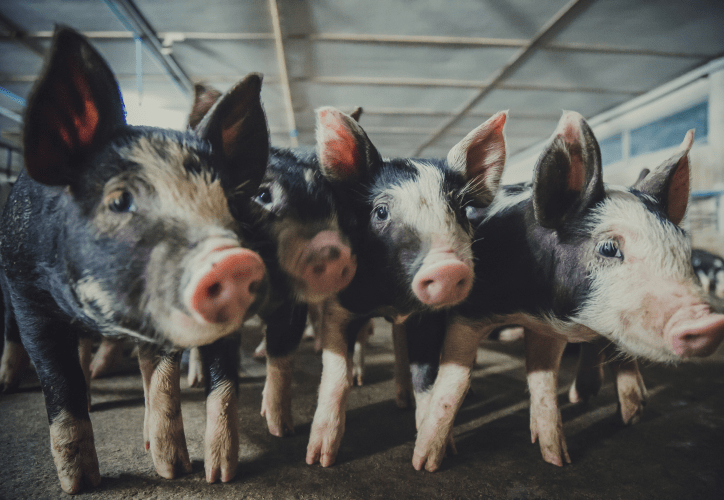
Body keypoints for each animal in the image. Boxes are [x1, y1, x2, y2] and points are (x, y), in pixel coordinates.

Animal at [0, 28, 270, 493]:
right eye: (119, 200)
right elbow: (58, 380)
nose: (232, 260)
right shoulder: (28, 293)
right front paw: (81, 486)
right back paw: (12, 385)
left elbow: (177, 385)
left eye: (230, 206)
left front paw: (196, 474)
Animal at [305, 107, 508, 467]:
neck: (395, 302)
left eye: (460, 210)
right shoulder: (339, 308)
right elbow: (336, 375)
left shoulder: (428, 319)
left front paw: (435, 458)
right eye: (381, 211)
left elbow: (426, 377)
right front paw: (319, 459)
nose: (447, 268)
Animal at [409, 111, 724, 472]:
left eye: (683, 248)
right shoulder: (470, 312)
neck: (527, 305)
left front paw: (557, 459)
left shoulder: (547, 327)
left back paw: (622, 409)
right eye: (608, 247)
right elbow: (455, 382)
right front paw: (427, 464)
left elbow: (544, 381)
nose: (709, 323)